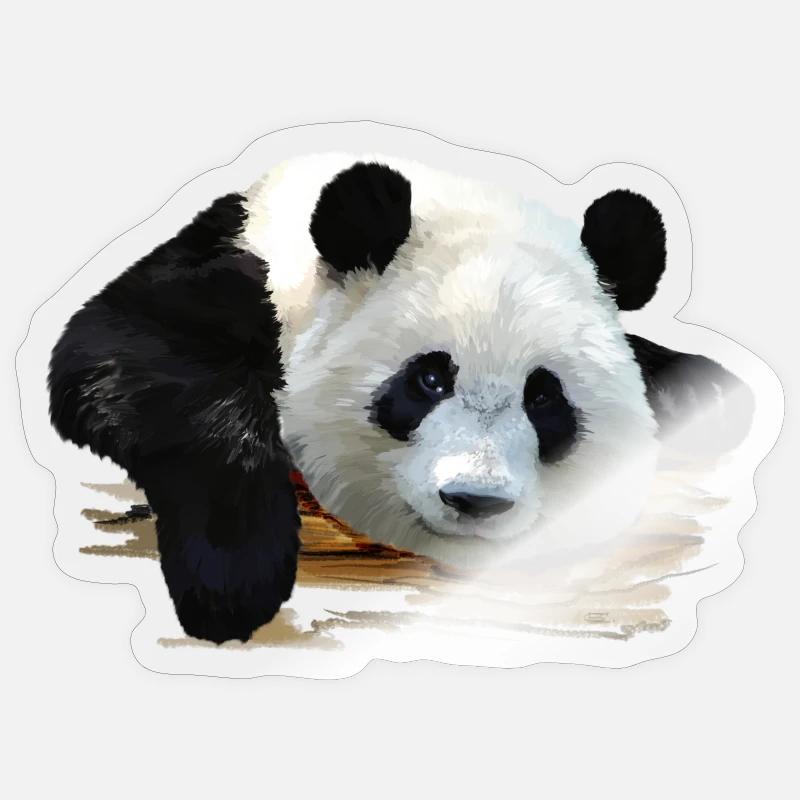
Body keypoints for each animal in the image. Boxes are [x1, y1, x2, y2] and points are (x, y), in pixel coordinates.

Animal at [49, 153, 746, 644]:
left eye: (544, 398)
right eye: (429, 380)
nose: (475, 500)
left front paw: (713, 393)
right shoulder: (233, 272)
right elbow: (122, 358)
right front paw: (230, 580)